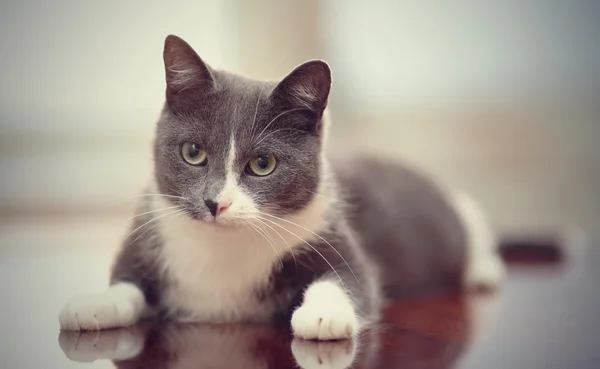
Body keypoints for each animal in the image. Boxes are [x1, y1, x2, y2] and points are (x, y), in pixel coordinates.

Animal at [58, 34, 504, 340]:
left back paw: (485, 269)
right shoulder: (148, 230)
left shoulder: (334, 233)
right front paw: (94, 304)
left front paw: (324, 314)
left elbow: (351, 276)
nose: (215, 203)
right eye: (192, 152)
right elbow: (127, 282)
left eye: (263, 164)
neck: (222, 246)